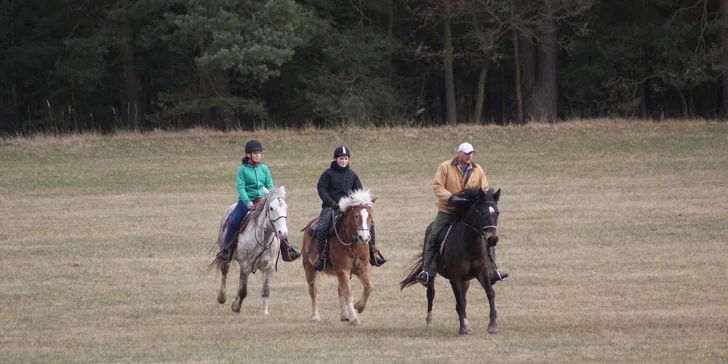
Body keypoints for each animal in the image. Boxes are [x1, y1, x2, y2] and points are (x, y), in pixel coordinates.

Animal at [212, 186, 288, 314]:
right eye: (271, 208)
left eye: (285, 207)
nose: (283, 233)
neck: (263, 241)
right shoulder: (246, 266)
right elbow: (243, 291)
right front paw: (236, 307)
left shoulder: (269, 268)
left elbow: (265, 290)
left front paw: (265, 312)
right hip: (225, 255)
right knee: (225, 272)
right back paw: (221, 297)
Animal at [300, 189, 376, 326]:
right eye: (356, 216)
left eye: (370, 216)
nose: (364, 237)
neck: (353, 245)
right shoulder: (343, 270)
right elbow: (348, 294)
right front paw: (354, 318)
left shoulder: (362, 268)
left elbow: (369, 287)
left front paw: (359, 307)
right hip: (309, 268)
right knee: (313, 291)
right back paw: (315, 316)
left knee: (340, 290)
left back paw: (344, 315)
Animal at [398, 188, 500, 336]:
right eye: (482, 213)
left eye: (497, 213)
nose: (492, 239)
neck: (470, 244)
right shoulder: (455, 278)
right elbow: (460, 303)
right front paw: (462, 329)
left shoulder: (482, 273)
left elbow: (490, 293)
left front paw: (492, 325)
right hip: (432, 276)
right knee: (431, 294)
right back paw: (429, 321)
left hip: (466, 280)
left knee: (464, 296)